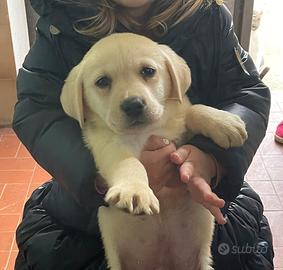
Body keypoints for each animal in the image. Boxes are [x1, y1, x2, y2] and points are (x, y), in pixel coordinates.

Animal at [60, 32, 248, 268]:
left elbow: (192, 110)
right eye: (102, 82)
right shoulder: (109, 145)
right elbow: (130, 163)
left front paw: (224, 123)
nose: (133, 104)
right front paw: (134, 190)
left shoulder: (178, 130)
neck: (147, 131)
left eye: (148, 71)